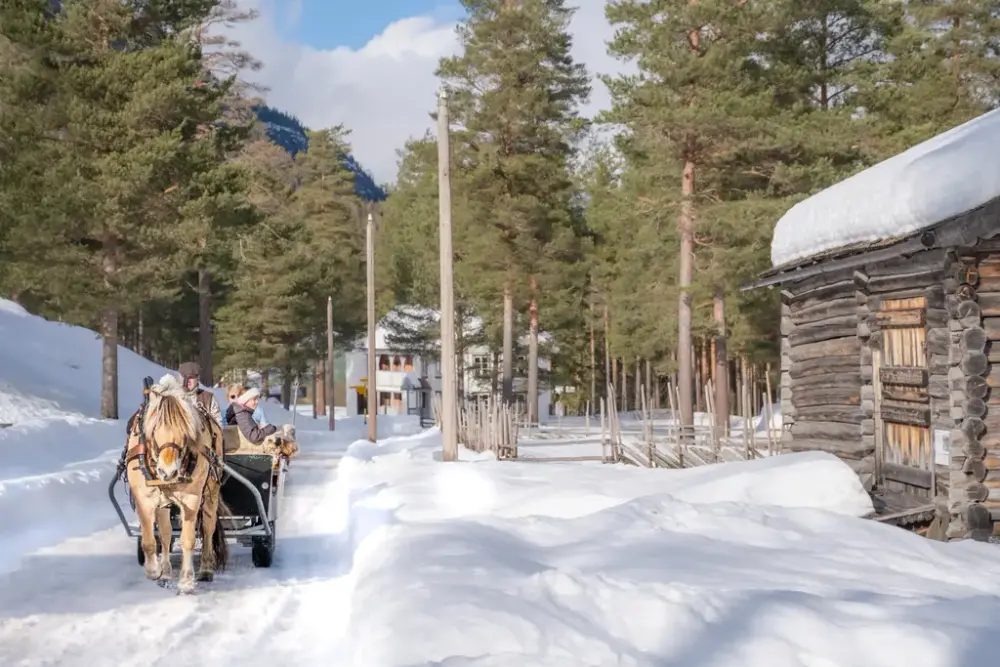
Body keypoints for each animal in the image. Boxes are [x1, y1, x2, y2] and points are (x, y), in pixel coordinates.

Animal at [124, 376, 229, 596]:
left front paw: (187, 581)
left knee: (208, 527)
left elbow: (188, 539)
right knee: (164, 533)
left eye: (184, 432)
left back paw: (206, 568)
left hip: (211, 492)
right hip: (163, 502)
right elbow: (150, 540)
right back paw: (165, 572)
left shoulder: (192, 498)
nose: (168, 472)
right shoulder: (144, 498)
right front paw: (154, 571)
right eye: (154, 429)